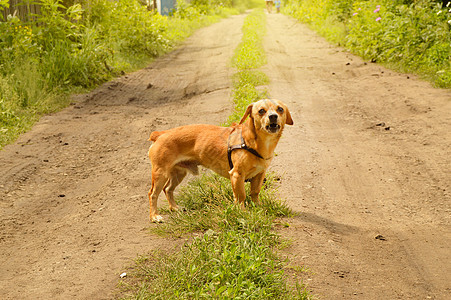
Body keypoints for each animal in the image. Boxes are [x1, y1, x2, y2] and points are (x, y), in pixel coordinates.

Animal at [148, 99, 294, 223]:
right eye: (261, 111)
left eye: (280, 109)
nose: (273, 116)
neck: (254, 142)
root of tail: (160, 134)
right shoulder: (236, 175)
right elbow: (241, 196)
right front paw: (242, 212)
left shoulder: (259, 175)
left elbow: (255, 192)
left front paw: (257, 207)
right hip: (160, 174)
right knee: (153, 194)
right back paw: (155, 216)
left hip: (178, 174)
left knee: (168, 189)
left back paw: (174, 207)